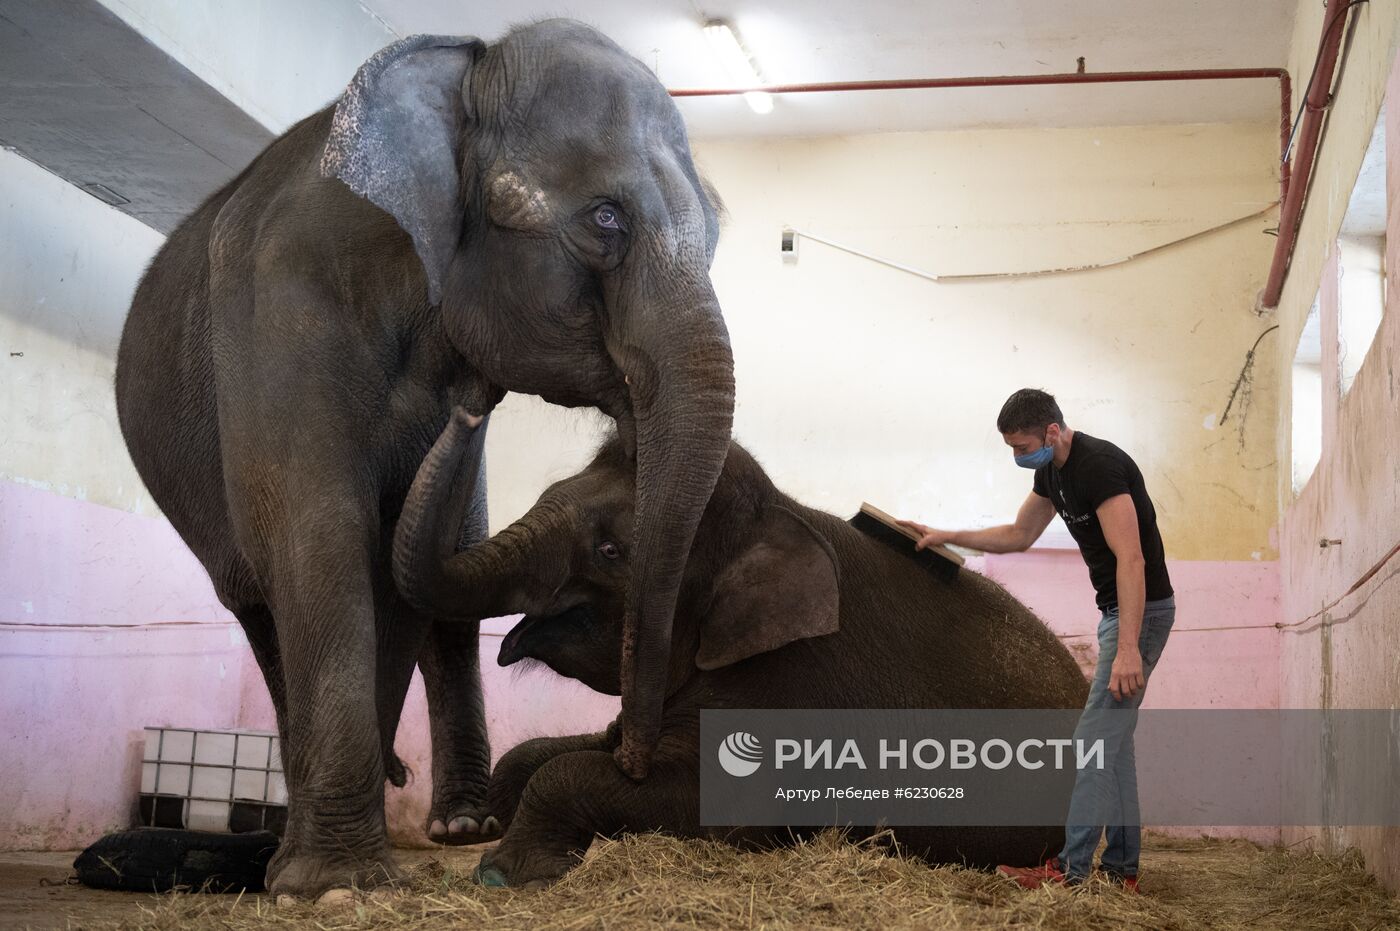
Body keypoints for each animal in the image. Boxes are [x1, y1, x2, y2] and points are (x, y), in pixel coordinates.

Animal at [114, 18, 739, 896]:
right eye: (606, 218)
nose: (631, 755)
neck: (469, 72)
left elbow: (395, 557)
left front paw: (334, 868)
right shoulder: (280, 302)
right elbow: (321, 531)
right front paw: (334, 881)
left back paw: (456, 826)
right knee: (260, 605)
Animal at [394, 411, 1092, 884]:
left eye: (611, 550)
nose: (468, 411)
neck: (774, 516)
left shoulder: (792, 687)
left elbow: (711, 806)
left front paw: (502, 871)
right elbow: (561, 752)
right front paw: (476, 828)